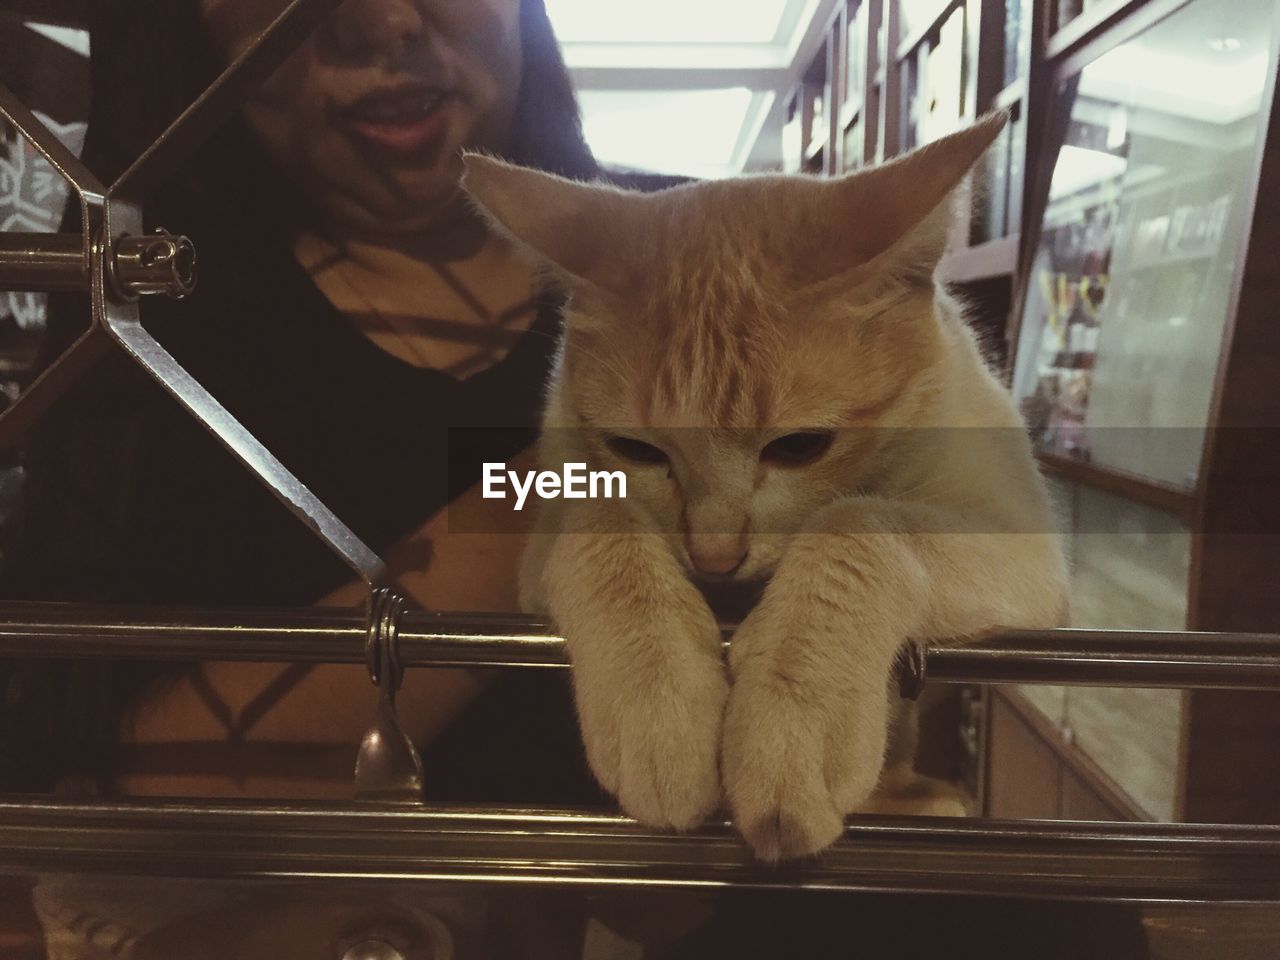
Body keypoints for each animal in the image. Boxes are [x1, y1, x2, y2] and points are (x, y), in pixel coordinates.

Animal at [465, 112, 1064, 865]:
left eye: (800, 446)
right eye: (636, 450)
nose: (714, 558)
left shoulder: (1025, 545)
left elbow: (859, 522)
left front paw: (791, 714)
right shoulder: (550, 522)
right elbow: (600, 519)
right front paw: (659, 694)